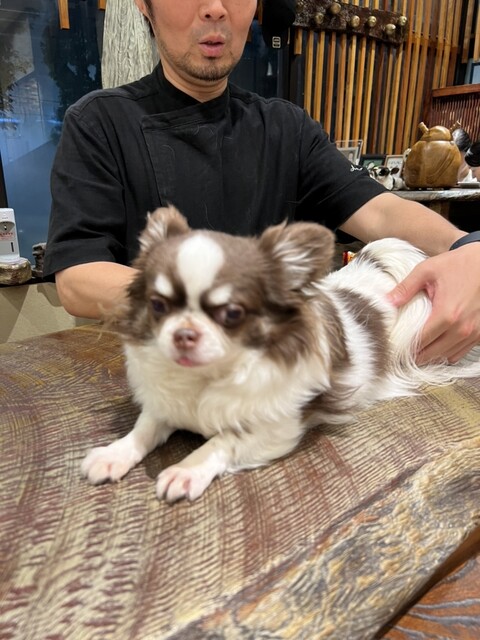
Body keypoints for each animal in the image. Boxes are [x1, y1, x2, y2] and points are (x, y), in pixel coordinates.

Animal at [81, 206, 480, 502]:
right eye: (158, 305)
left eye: (233, 314)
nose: (183, 334)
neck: (210, 375)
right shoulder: (166, 404)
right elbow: (145, 427)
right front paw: (114, 453)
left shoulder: (279, 427)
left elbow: (223, 439)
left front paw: (187, 469)